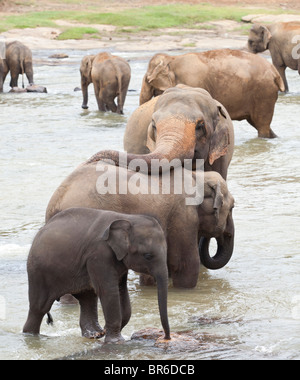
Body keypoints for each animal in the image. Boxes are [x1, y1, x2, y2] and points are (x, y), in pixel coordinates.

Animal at [22, 209, 171, 342]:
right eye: (148, 256)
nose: (166, 337)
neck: (128, 218)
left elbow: (121, 290)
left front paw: (104, 333)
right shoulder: (99, 255)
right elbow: (108, 291)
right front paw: (116, 341)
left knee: (88, 299)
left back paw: (92, 335)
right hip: (38, 272)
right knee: (39, 308)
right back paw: (31, 336)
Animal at [139, 49, 284, 138]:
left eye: (148, 80)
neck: (173, 60)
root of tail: (275, 72)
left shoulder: (193, 82)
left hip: (263, 94)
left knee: (262, 124)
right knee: (259, 123)